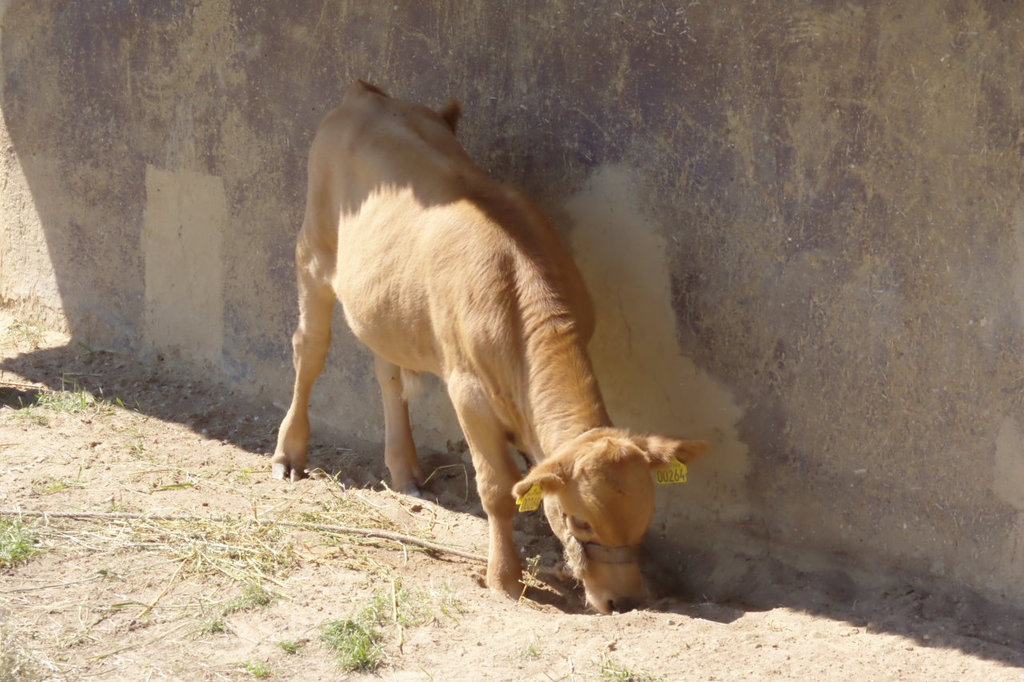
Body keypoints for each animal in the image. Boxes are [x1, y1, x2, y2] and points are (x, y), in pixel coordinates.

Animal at [272, 80, 704, 610]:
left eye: (644, 520)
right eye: (580, 521)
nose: (623, 602)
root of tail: (367, 95)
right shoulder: (467, 391)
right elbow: (499, 488)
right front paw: (505, 579)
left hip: (386, 298)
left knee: (387, 371)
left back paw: (405, 471)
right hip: (313, 252)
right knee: (309, 349)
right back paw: (289, 454)